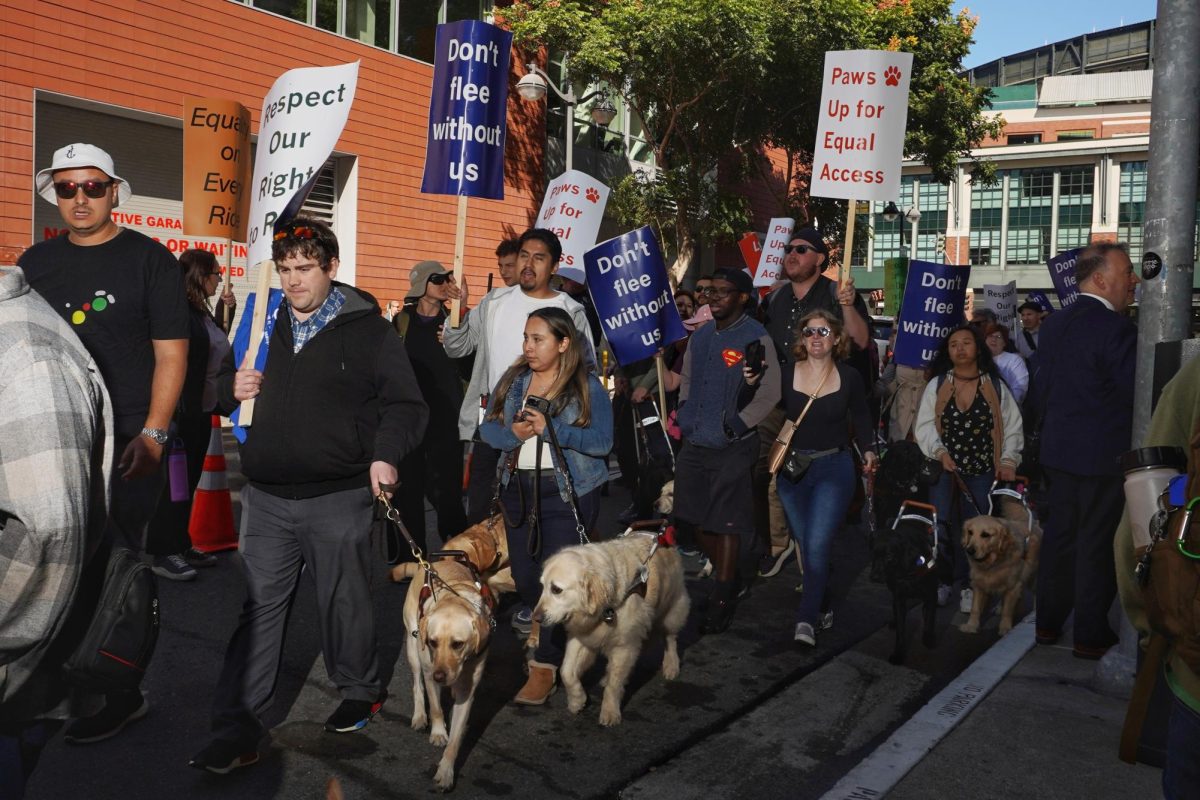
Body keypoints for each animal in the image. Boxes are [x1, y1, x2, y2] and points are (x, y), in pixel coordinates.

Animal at [532, 534, 691, 729]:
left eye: (556, 589)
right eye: (543, 586)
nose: (536, 618)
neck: (605, 608)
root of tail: (660, 537)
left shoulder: (624, 645)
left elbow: (614, 685)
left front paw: (609, 712)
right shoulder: (581, 636)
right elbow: (566, 671)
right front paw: (577, 700)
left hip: (671, 609)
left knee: (670, 638)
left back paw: (671, 665)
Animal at [955, 494, 1041, 638]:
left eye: (985, 535)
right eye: (970, 532)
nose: (969, 550)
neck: (992, 563)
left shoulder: (1013, 585)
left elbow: (1008, 610)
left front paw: (1005, 628)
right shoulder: (979, 584)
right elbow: (975, 608)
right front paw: (971, 625)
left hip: (1033, 577)